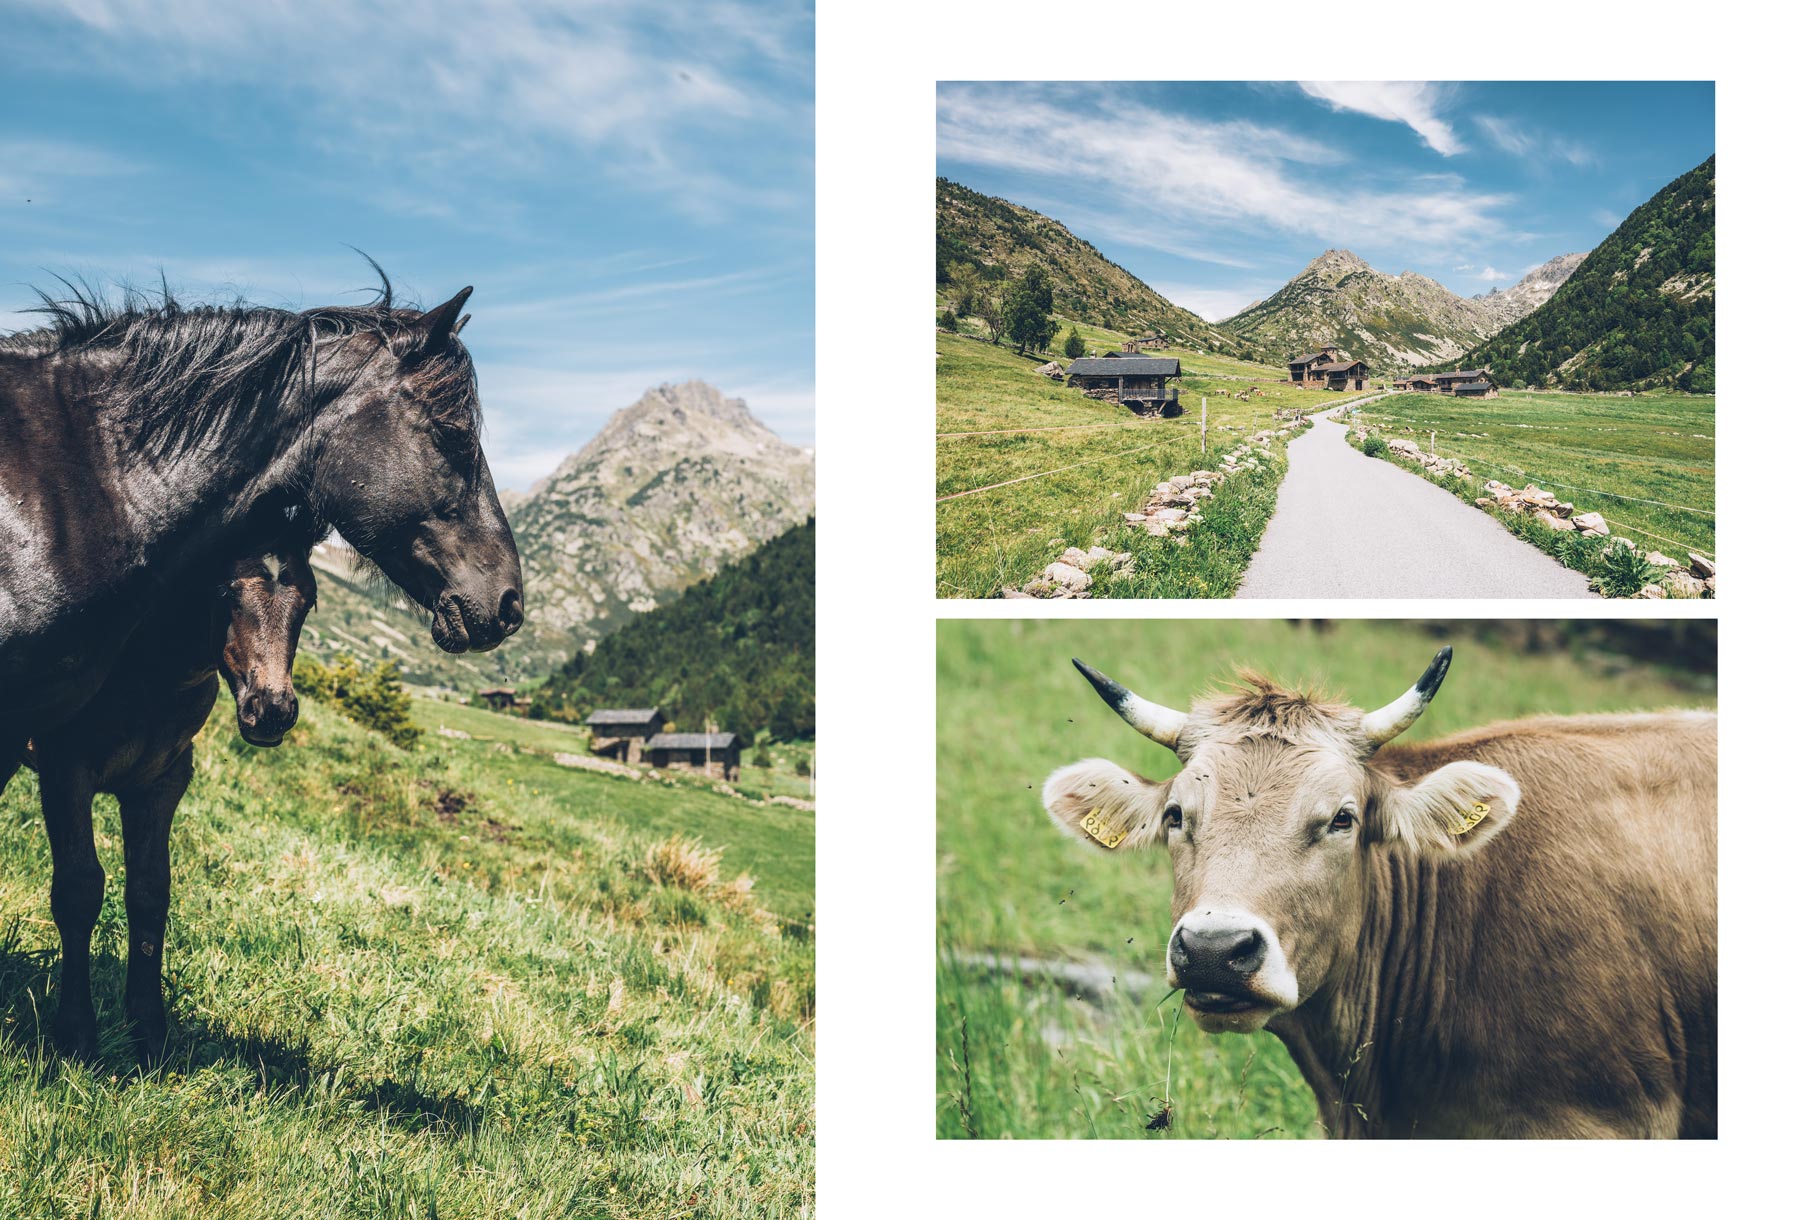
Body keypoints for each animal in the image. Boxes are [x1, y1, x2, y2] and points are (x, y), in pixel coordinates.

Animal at [23, 536, 320, 1058]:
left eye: (308, 601)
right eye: (225, 590)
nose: (271, 710)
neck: (146, 675)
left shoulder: (162, 783)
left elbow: (149, 892)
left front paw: (149, 1032)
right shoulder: (65, 766)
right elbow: (78, 889)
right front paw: (76, 1034)